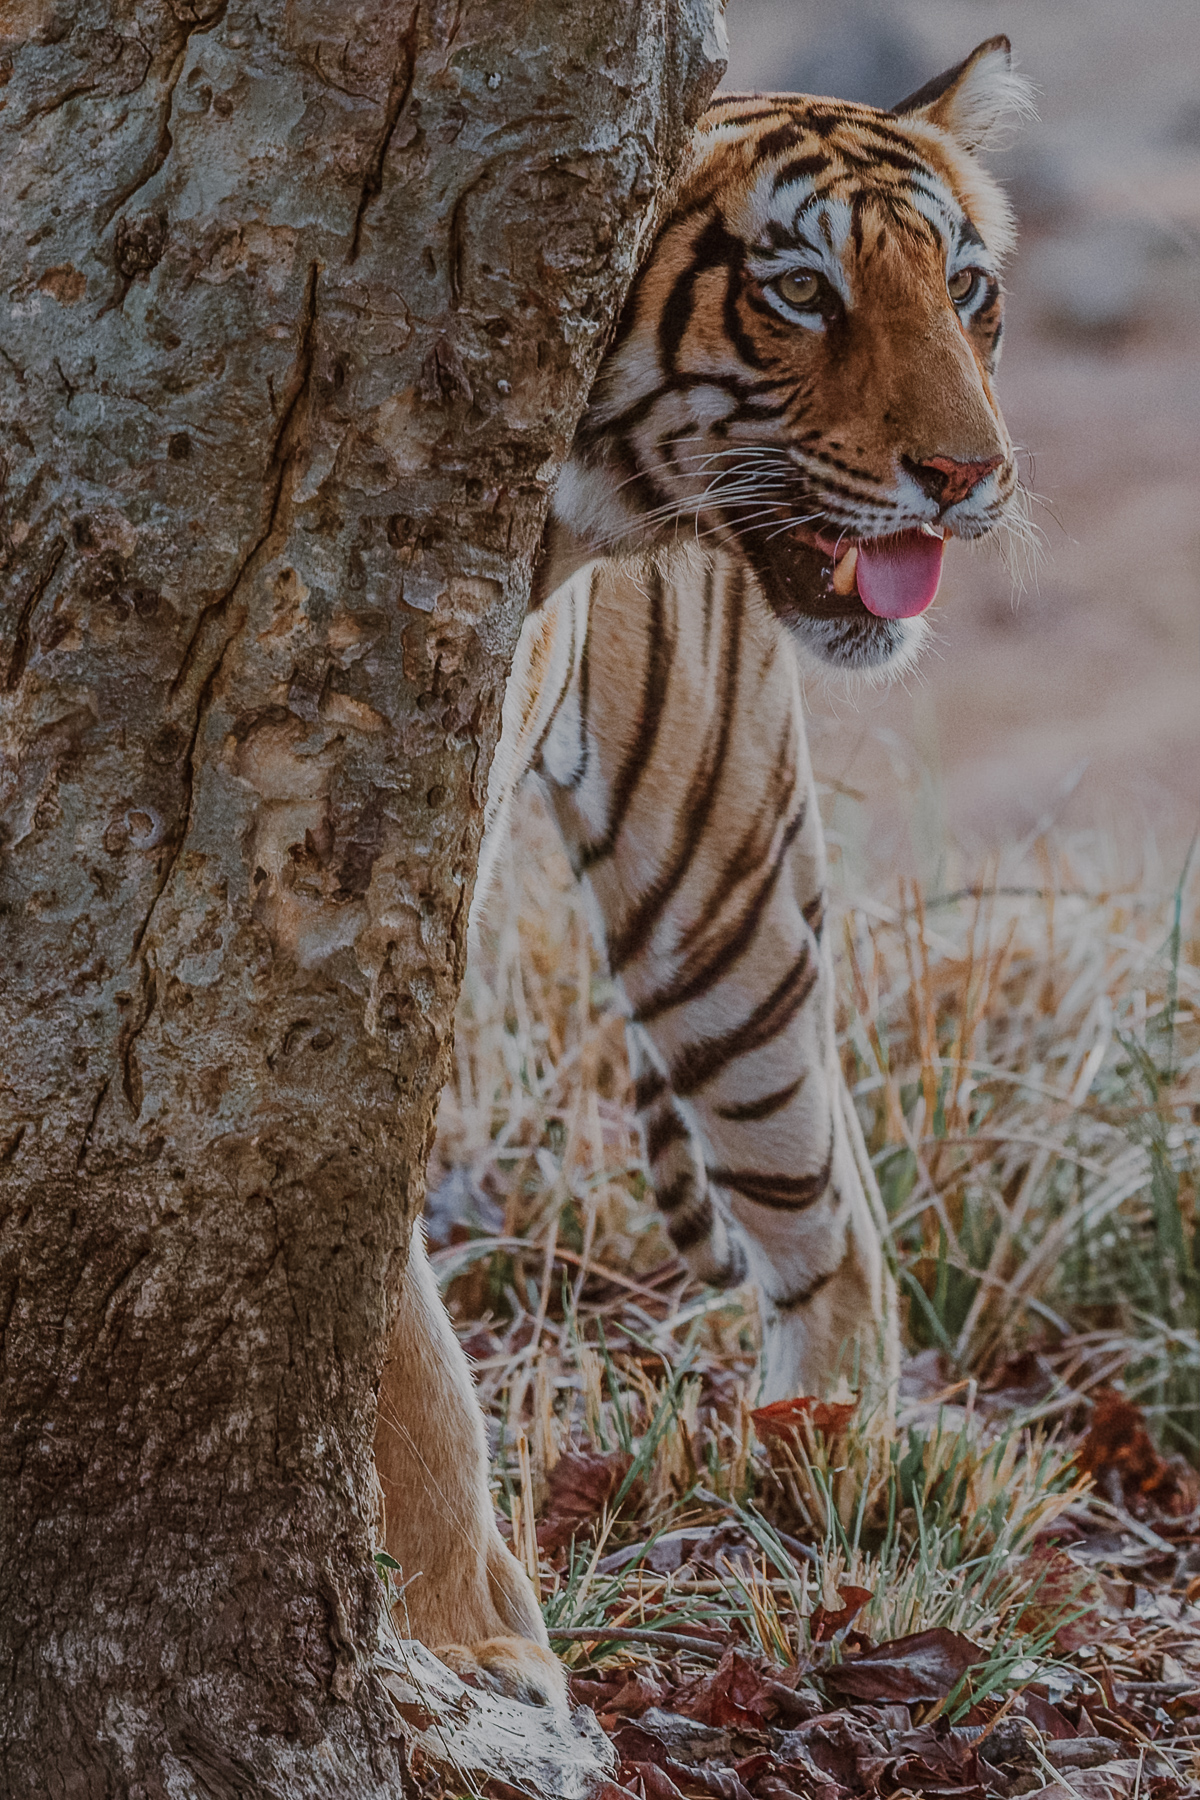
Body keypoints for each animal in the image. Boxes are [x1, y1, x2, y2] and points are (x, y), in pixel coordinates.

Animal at [376, 36, 1030, 1711]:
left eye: (968, 287)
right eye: (800, 291)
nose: (973, 475)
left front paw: (468, 1641)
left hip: (718, 908)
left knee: (832, 1226)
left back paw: (834, 1499)